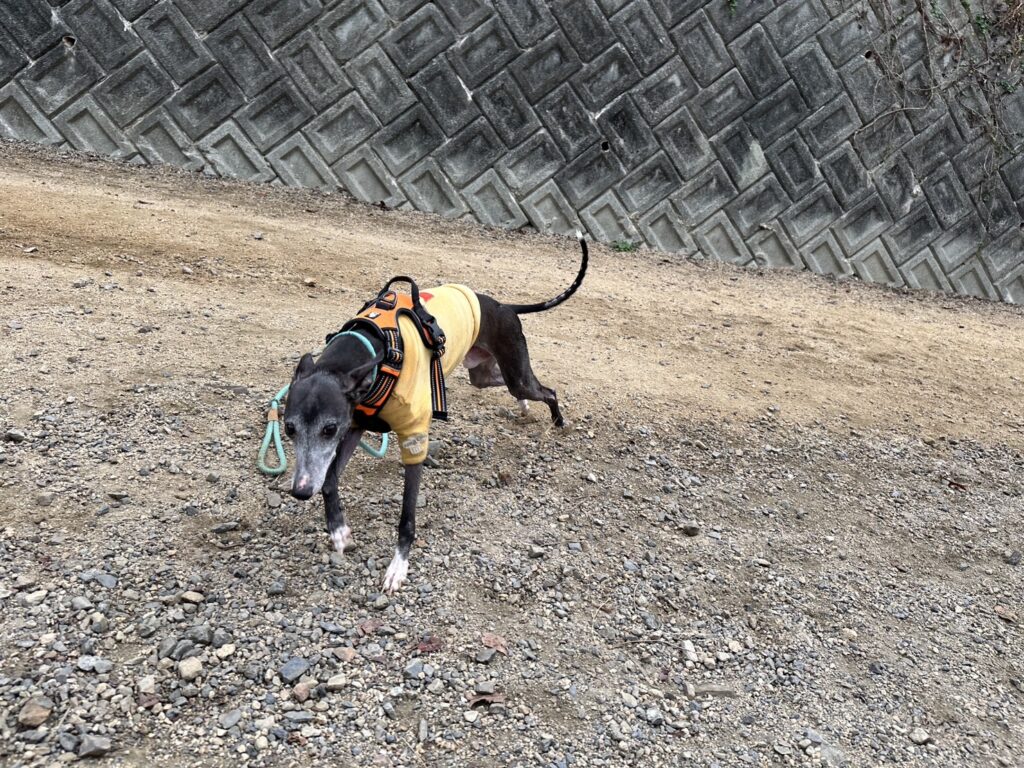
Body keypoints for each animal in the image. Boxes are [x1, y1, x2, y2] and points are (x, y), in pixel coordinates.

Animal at [284, 234, 588, 592]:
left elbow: (406, 517)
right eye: (289, 429)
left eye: (328, 428)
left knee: (548, 391)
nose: (300, 491)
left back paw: (558, 421)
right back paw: (525, 408)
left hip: (517, 373)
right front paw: (338, 531)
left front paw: (397, 568)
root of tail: (504, 306)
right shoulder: (355, 425)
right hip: (484, 375)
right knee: (513, 387)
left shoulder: (411, 438)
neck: (374, 346)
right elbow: (329, 480)